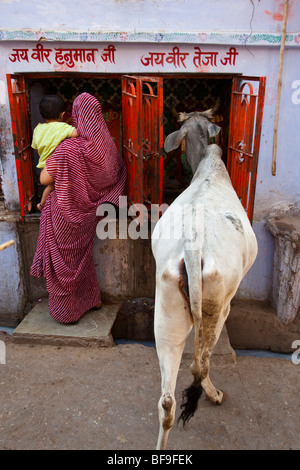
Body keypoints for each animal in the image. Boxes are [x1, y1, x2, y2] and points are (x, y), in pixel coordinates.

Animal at [152, 104, 258, 450]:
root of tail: (193, 241)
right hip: (218, 304)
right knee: (201, 363)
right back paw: (214, 394)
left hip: (167, 309)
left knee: (168, 401)